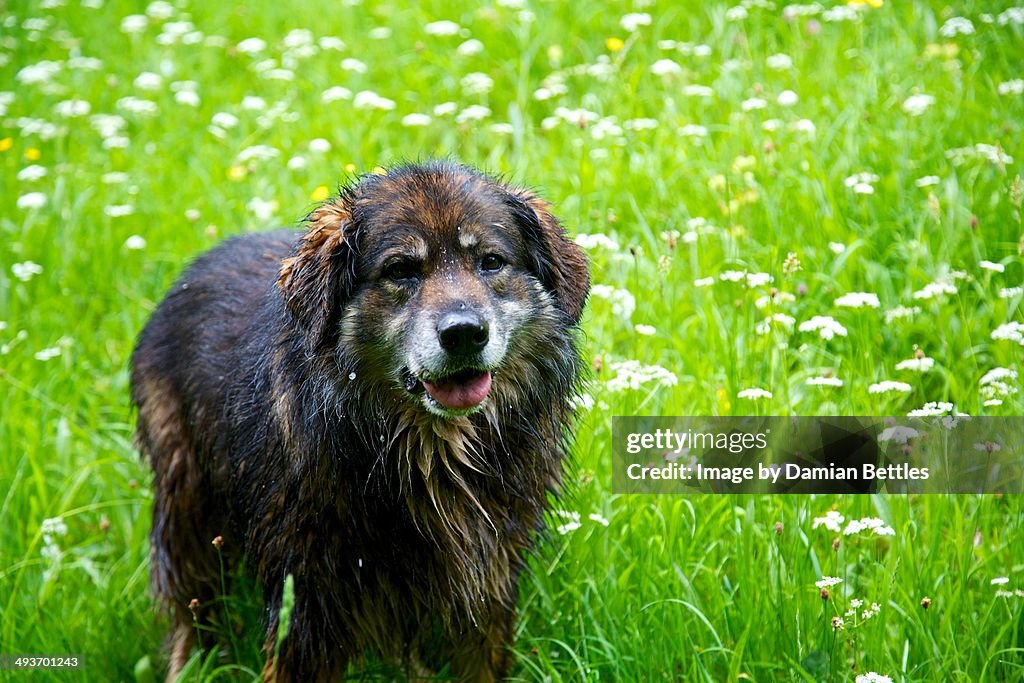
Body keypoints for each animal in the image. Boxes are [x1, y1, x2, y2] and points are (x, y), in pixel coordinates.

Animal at [129, 161, 593, 683]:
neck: (430, 456)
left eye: (491, 262)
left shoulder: (487, 583)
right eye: (400, 270)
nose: (465, 334)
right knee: (189, 612)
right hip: (185, 500)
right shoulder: (307, 604)